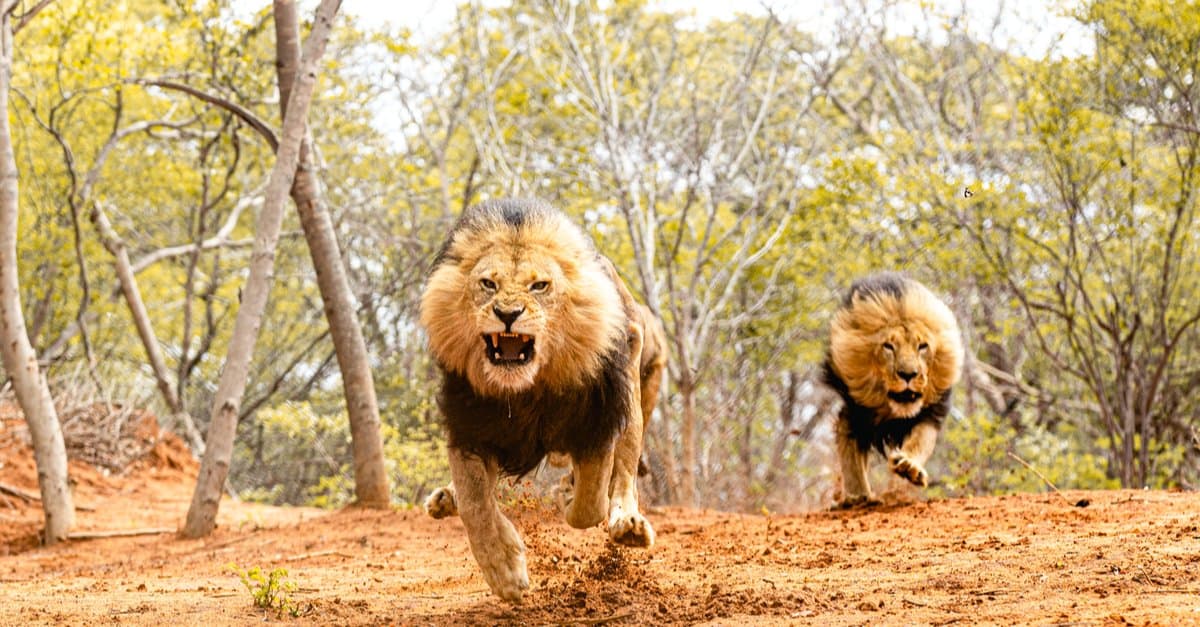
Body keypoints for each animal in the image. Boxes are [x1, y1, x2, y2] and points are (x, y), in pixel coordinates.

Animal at [417, 199, 662, 600]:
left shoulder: (598, 419)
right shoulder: (469, 422)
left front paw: (569, 495)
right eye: (488, 283)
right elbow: (474, 502)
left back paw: (627, 524)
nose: (508, 314)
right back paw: (446, 499)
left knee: (625, 472)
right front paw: (504, 569)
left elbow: (590, 503)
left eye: (539, 285)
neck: (527, 390)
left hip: (634, 385)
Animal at [825, 270, 964, 504]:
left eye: (922, 346)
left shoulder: (930, 413)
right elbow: (851, 457)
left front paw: (908, 469)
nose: (908, 374)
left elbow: (920, 441)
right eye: (888, 347)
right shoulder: (854, 412)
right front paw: (857, 496)